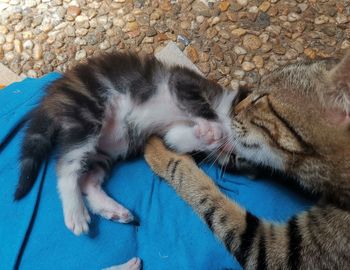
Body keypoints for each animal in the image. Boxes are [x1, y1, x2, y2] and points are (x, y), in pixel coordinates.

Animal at [15, 51, 237, 235]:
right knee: (67, 167)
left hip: (106, 151)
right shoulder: (182, 82)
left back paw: (112, 210)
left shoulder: (173, 132)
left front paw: (208, 135)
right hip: (87, 114)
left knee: (87, 181)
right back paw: (75, 212)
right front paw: (214, 127)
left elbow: (179, 138)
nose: (228, 151)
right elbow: (200, 107)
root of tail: (53, 94)